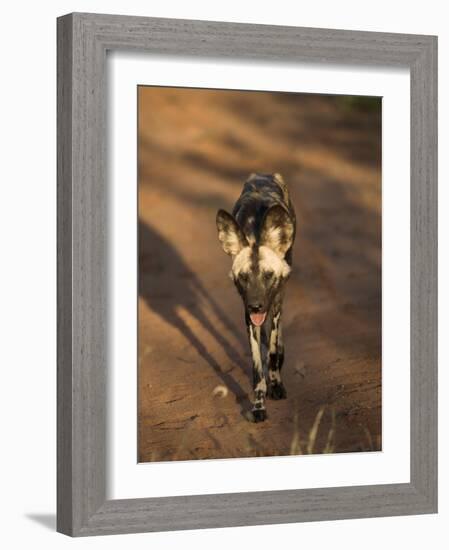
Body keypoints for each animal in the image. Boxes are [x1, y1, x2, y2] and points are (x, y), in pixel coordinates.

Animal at [216, 175, 296, 424]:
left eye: (268, 275)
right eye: (243, 277)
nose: (256, 305)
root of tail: (262, 174)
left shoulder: (275, 302)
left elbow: (272, 350)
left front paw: (276, 384)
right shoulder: (248, 316)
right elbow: (257, 366)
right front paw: (259, 405)